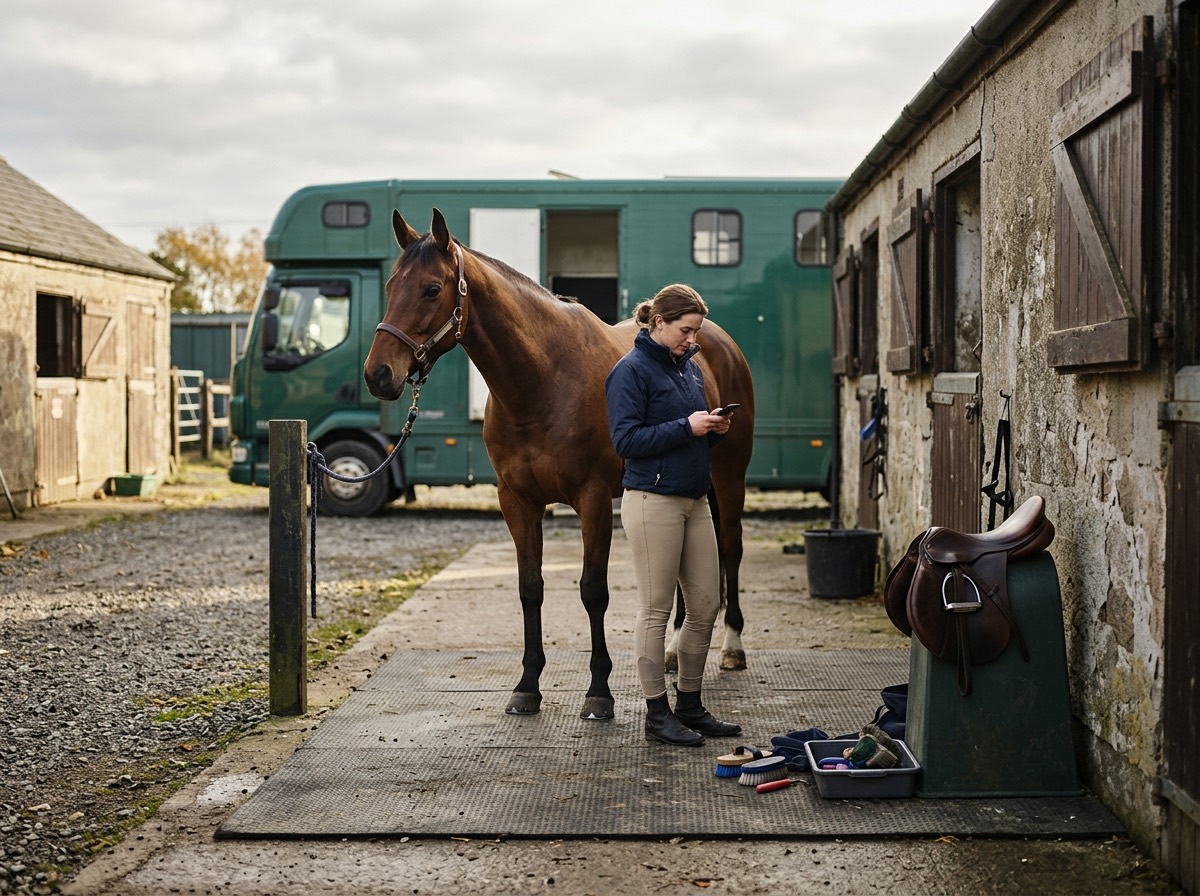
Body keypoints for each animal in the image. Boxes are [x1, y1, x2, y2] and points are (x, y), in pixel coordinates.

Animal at [363, 208, 755, 721]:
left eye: (431, 289)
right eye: (392, 285)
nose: (378, 374)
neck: (542, 382)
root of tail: (717, 339)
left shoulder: (593, 500)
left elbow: (593, 591)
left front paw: (599, 692)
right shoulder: (518, 501)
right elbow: (530, 588)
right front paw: (527, 686)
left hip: (729, 480)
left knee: (730, 550)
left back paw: (732, 647)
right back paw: (671, 652)